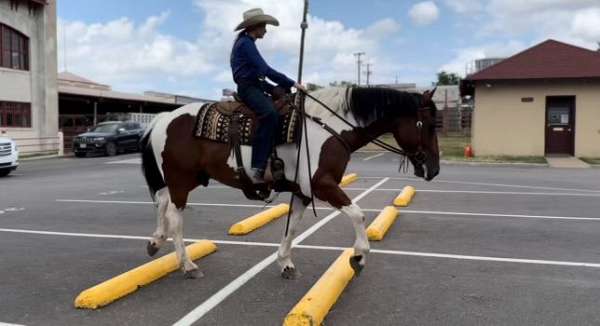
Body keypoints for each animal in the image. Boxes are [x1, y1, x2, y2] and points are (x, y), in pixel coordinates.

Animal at [141, 86, 440, 278]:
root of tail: (163, 118)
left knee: (162, 202)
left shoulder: (303, 191)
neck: (328, 128)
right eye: (428, 125)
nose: (434, 169)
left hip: (183, 179)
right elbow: (358, 214)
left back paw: (156, 241)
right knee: (175, 216)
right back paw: (187, 265)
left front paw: (284, 262)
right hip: (181, 179)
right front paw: (359, 256)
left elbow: (293, 226)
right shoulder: (322, 185)